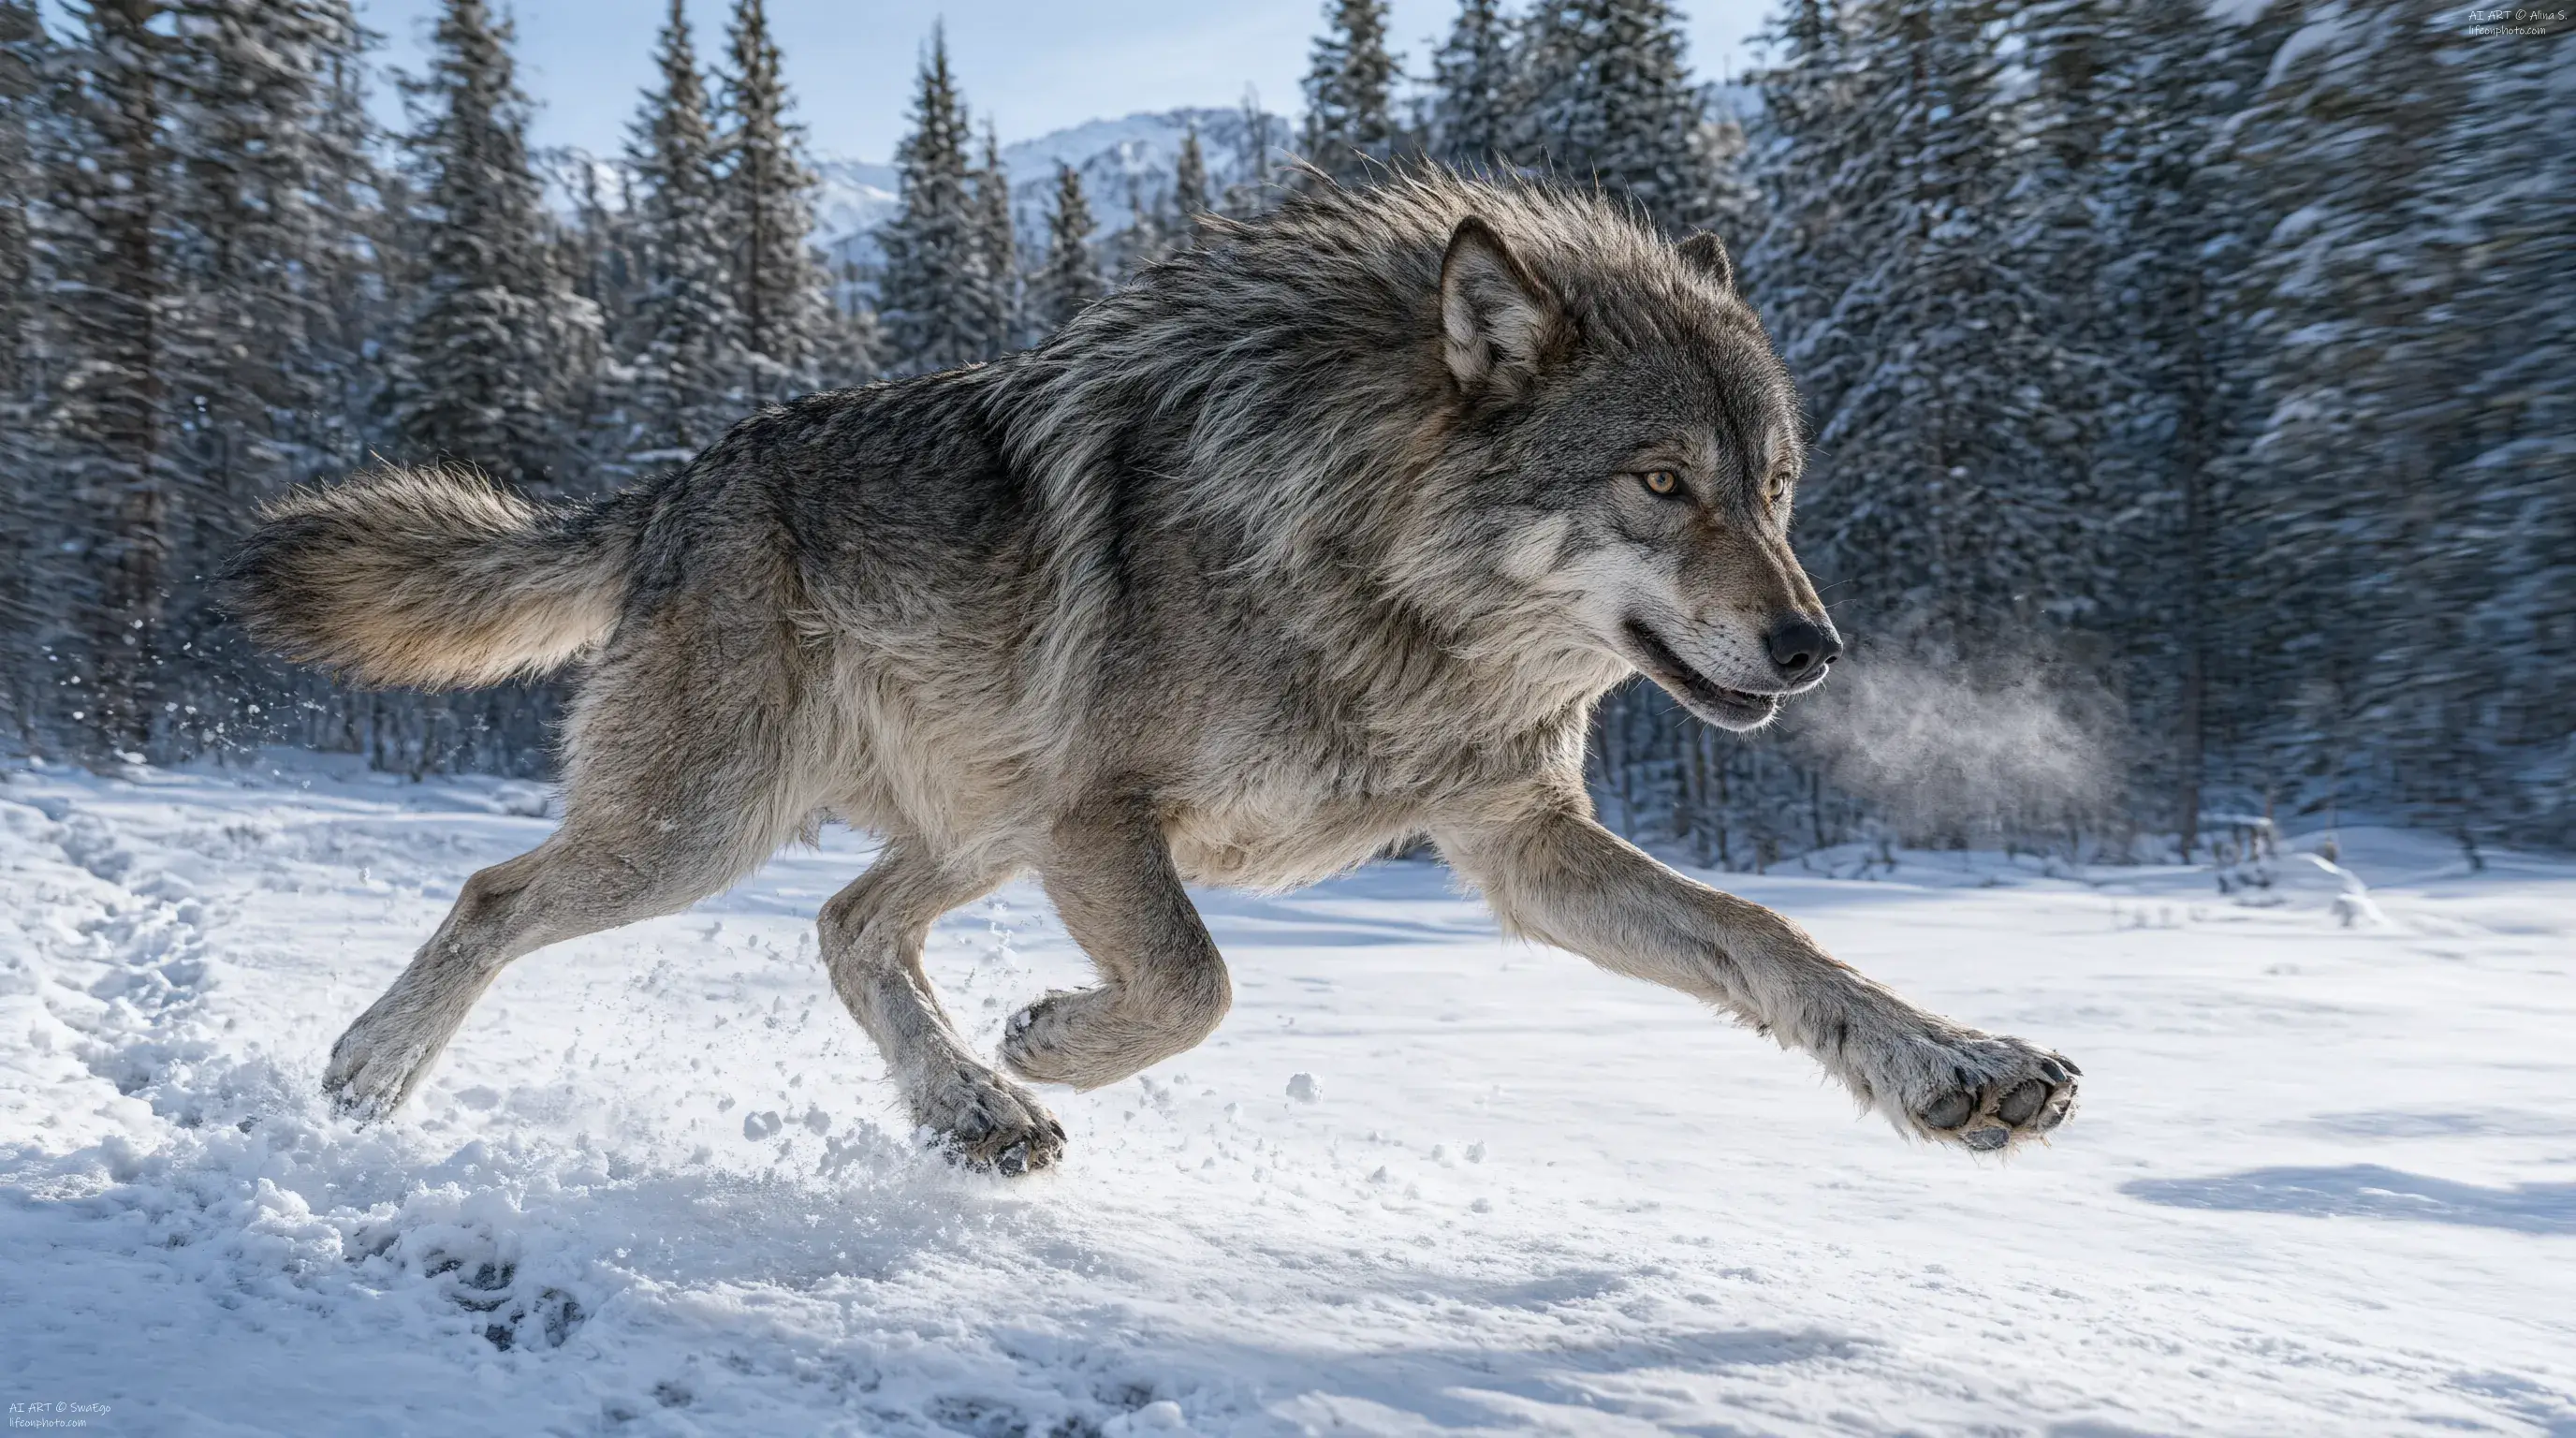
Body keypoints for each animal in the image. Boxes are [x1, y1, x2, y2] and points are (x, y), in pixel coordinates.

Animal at [229, 172, 2078, 1173]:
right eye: (1660, 484)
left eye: (1775, 491)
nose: (1811, 648)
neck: (1379, 592)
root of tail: (679, 479)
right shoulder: (1104, 821)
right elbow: (1199, 983)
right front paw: (1054, 1039)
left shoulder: (1516, 847)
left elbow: (1769, 940)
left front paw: (1954, 1066)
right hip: (712, 831)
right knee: (497, 896)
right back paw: (367, 1077)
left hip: (959, 830)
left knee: (845, 926)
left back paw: (967, 1113)